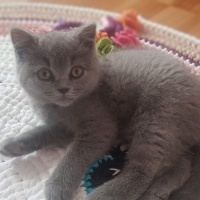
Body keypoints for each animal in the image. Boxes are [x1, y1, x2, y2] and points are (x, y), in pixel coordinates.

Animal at [1, 23, 200, 200]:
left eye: (76, 72)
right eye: (44, 74)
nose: (63, 89)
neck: (61, 109)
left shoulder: (100, 127)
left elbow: (74, 157)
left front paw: (57, 186)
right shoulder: (62, 127)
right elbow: (44, 132)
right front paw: (14, 145)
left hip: (159, 117)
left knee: (143, 170)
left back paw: (101, 196)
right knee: (183, 165)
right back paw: (158, 192)